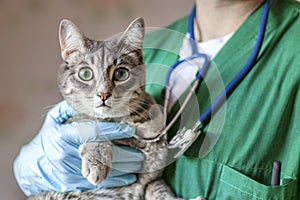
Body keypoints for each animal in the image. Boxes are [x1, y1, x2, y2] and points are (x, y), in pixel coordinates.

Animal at [28, 17, 182, 200]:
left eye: (121, 73)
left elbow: (157, 189)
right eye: (85, 74)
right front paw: (97, 160)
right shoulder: (72, 121)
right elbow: (90, 123)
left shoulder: (151, 179)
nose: (103, 94)